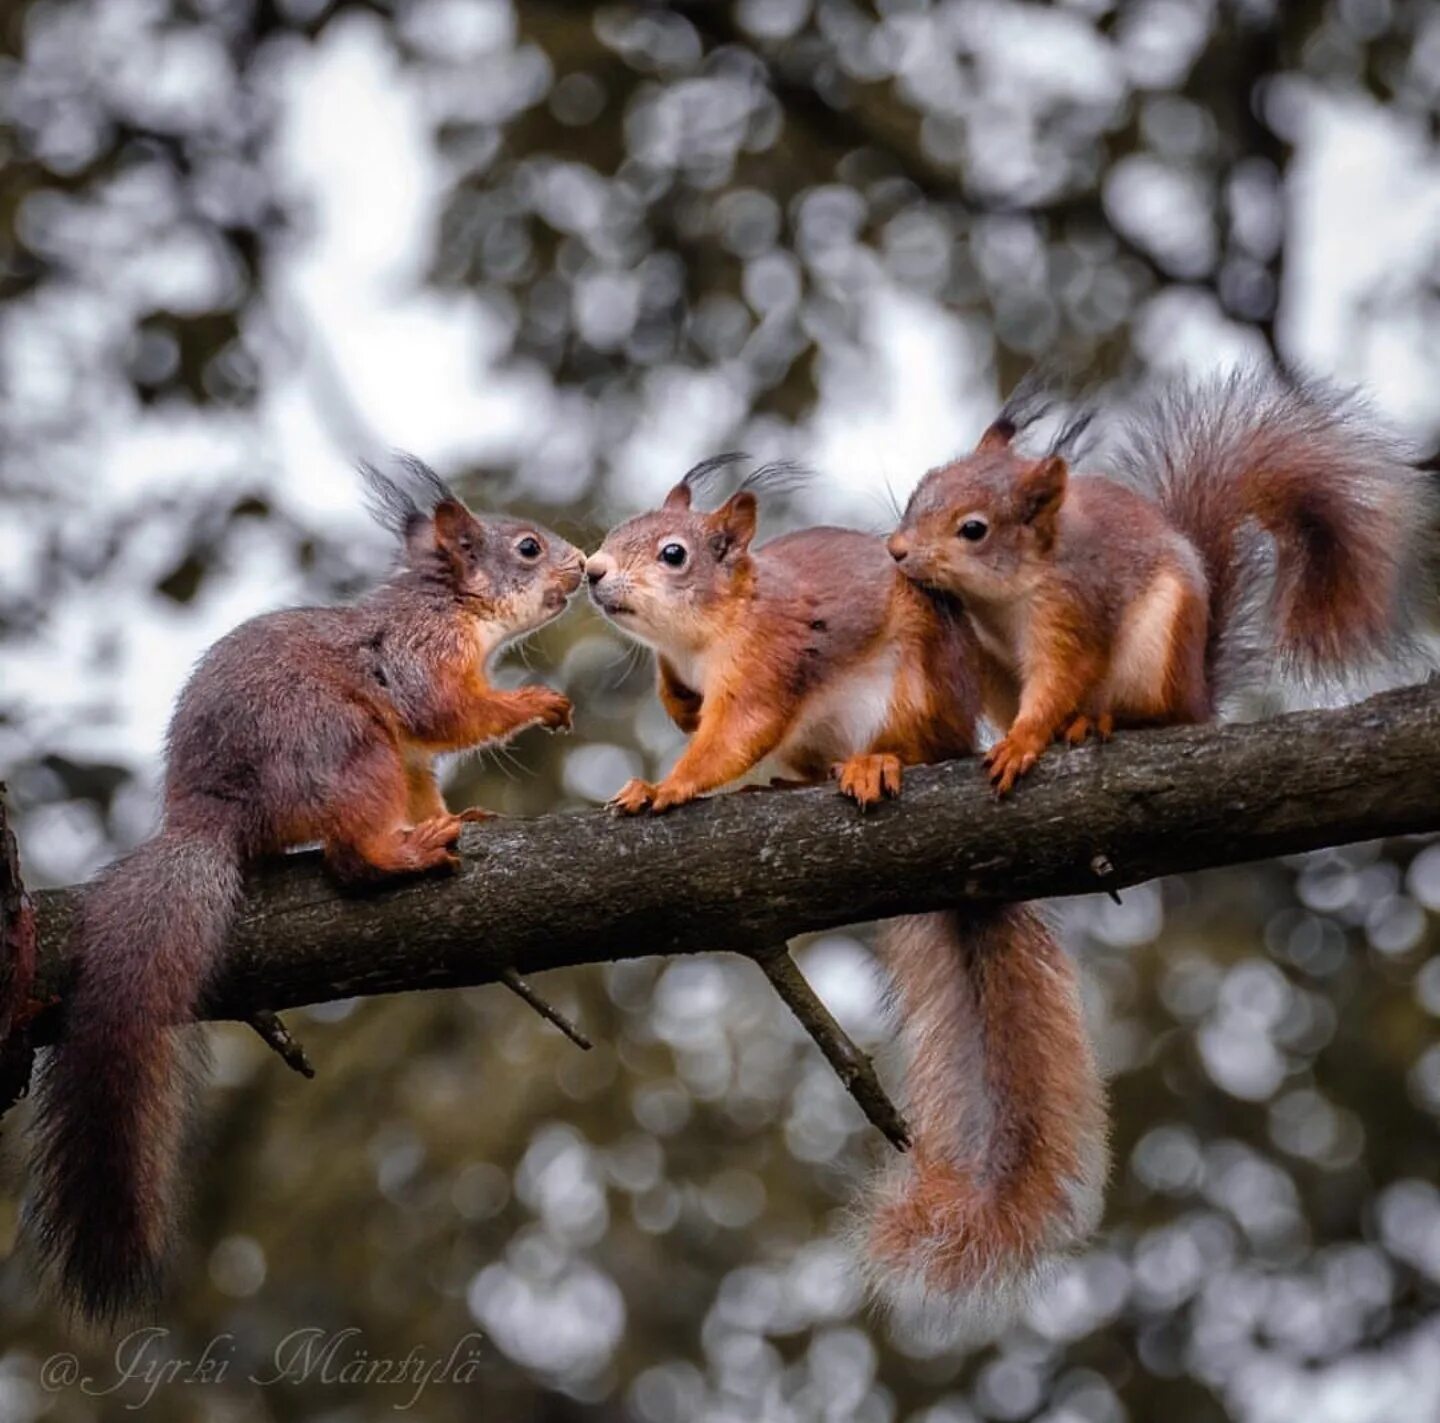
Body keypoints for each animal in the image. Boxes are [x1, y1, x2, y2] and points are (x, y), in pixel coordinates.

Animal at [28, 455, 581, 1325]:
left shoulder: (413, 755)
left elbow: (428, 772)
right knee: (350, 856)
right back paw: (400, 854)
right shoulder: (418, 655)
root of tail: (209, 814)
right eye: (527, 547)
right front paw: (536, 702)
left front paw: (460, 811)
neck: (451, 604)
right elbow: (447, 709)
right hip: (343, 745)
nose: (585, 566)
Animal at [584, 469, 1111, 1336]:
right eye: (616, 532)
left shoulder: (771, 660)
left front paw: (667, 785)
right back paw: (786, 784)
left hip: (913, 690)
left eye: (673, 553)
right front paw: (669, 713)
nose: (590, 571)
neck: (708, 630)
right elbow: (688, 710)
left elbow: (731, 735)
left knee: (906, 747)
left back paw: (873, 766)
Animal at [881, 367, 1434, 789]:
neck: (998, 598)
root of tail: (1199, 693)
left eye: (974, 529)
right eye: (921, 488)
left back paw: (1099, 719)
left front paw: (1021, 742)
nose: (896, 550)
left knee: (1157, 716)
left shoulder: (1073, 608)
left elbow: (1061, 677)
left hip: (1157, 653)